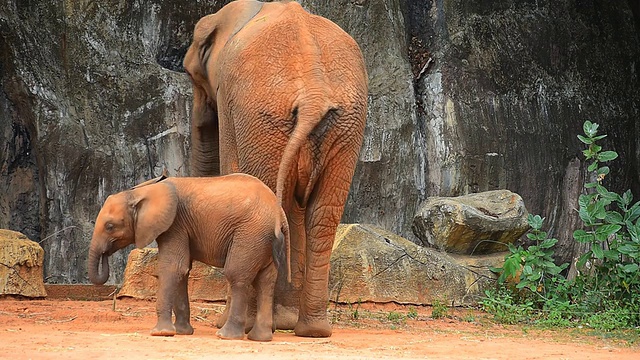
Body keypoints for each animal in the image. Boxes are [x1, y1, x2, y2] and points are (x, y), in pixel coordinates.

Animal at [87, 173, 290, 342]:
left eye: (110, 226)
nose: (105, 254)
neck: (141, 191)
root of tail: (279, 214)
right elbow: (182, 270)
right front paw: (182, 332)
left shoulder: (175, 224)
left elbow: (173, 267)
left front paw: (161, 333)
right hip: (262, 239)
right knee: (265, 281)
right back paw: (260, 338)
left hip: (250, 234)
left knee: (236, 275)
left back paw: (226, 336)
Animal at [182, 0, 368, 338]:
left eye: (191, 75)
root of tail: (314, 96)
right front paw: (283, 322)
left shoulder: (231, 103)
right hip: (345, 126)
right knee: (322, 215)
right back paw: (312, 330)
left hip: (263, 117)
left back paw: (249, 325)